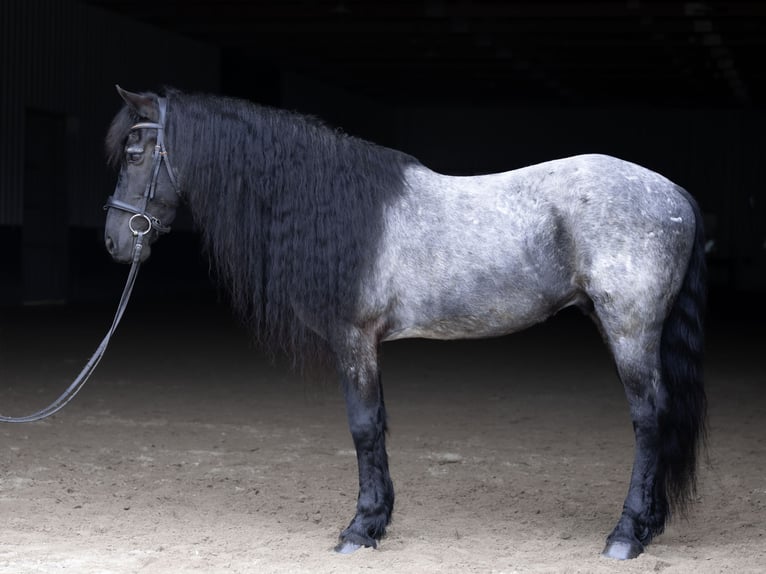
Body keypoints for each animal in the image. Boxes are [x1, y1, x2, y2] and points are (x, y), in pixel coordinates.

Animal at [103, 86, 706, 560]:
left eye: (135, 153)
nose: (114, 243)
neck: (335, 207)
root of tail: (675, 192)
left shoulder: (354, 339)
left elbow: (364, 425)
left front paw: (360, 528)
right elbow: (377, 424)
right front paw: (379, 520)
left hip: (629, 328)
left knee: (648, 417)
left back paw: (626, 535)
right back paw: (647, 526)